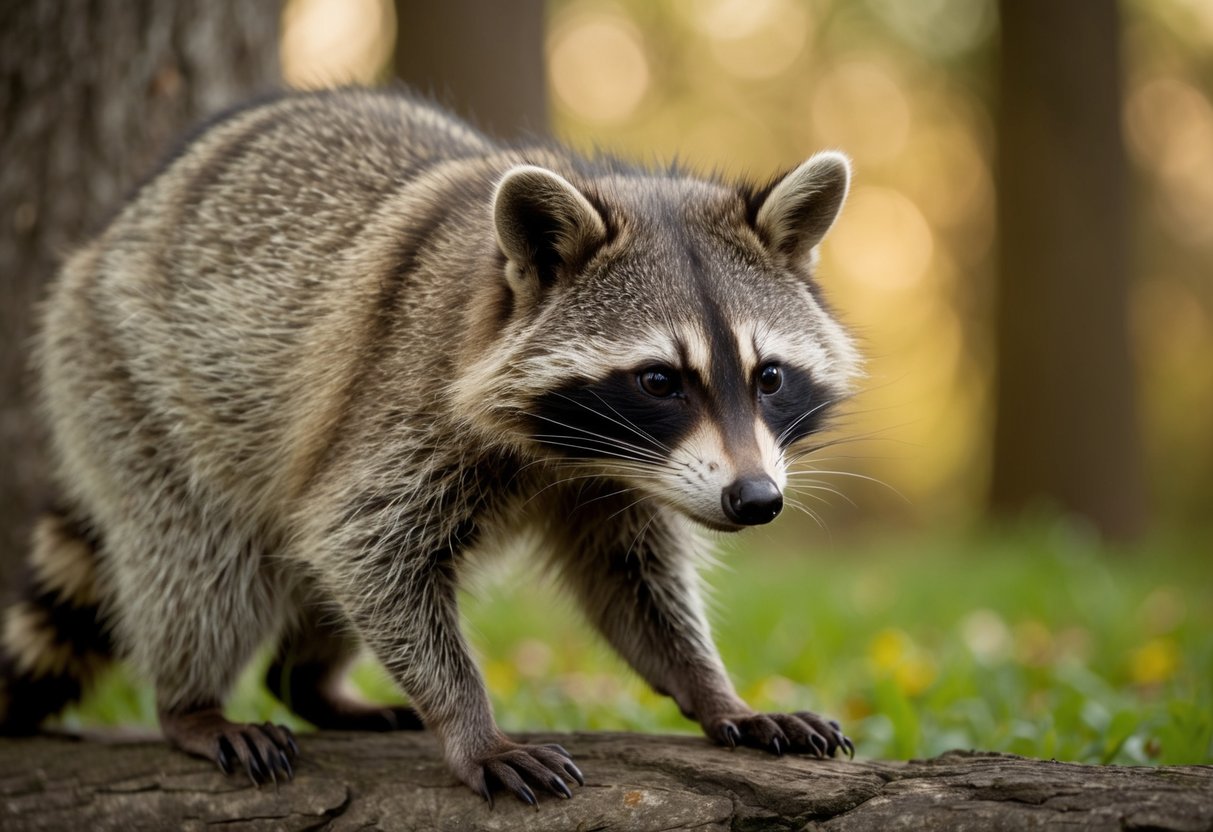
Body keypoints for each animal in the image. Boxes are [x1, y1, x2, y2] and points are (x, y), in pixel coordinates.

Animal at [2, 88, 861, 802]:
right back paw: (191, 703)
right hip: (126, 378)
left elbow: (631, 581)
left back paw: (306, 681)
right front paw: (470, 723)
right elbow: (366, 550)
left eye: (769, 377)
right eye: (659, 381)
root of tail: (107, 241)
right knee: (202, 556)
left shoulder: (616, 481)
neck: (575, 451)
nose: (755, 500)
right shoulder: (402, 401)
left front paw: (713, 689)